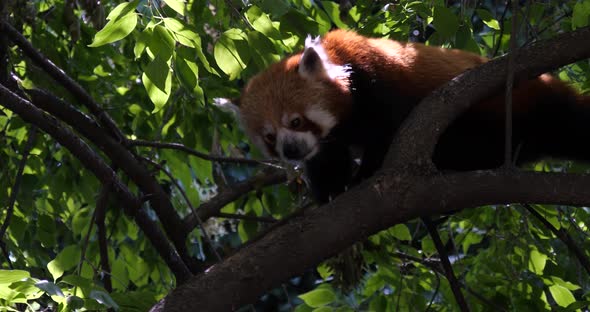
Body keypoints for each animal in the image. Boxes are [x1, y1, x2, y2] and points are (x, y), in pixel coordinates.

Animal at [224, 29, 590, 202]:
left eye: (296, 121)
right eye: (269, 137)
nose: (291, 151)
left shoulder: (378, 82)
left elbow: (387, 136)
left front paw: (364, 177)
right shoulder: (327, 140)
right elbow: (327, 159)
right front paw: (329, 191)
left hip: (536, 101)